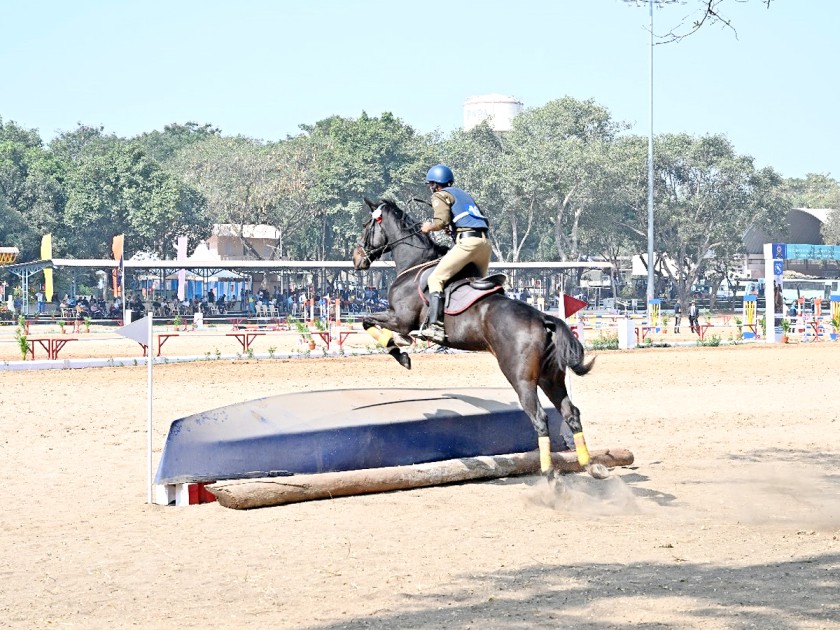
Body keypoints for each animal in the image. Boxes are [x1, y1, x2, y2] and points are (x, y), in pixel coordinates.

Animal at [352, 200, 608, 482]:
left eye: (366, 225)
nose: (356, 258)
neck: (415, 264)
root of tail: (543, 318)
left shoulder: (400, 319)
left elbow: (367, 321)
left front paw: (400, 352)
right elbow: (367, 321)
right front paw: (400, 348)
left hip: (521, 378)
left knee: (540, 418)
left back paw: (550, 475)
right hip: (550, 377)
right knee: (570, 412)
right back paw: (590, 466)